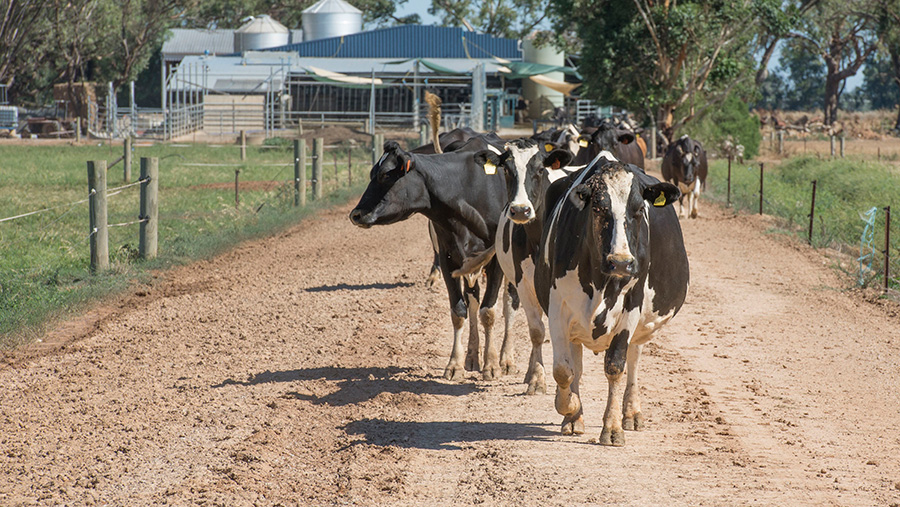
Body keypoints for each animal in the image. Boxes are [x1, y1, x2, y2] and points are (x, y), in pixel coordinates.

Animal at [354, 137, 520, 382]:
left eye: (384, 175)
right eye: (372, 173)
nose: (355, 214)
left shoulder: (496, 261)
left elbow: (488, 311)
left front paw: (491, 365)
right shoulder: (448, 259)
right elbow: (459, 311)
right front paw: (455, 364)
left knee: (510, 302)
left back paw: (506, 359)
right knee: (473, 302)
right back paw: (472, 357)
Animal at [536, 157, 688, 446]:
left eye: (639, 209)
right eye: (597, 208)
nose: (620, 262)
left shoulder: (631, 306)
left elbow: (616, 365)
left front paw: (613, 426)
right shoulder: (558, 307)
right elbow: (563, 370)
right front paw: (570, 407)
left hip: (640, 323)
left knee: (633, 359)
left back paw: (631, 413)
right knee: (576, 364)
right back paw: (574, 418)